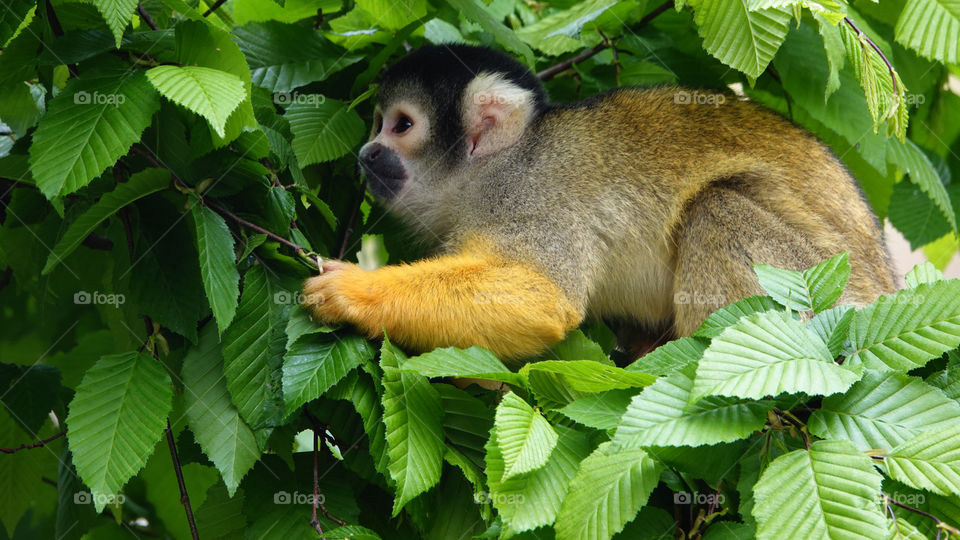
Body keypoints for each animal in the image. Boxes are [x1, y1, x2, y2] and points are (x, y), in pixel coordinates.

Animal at [302, 44, 896, 366]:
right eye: (377, 123)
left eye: (401, 126)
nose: (367, 153)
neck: (495, 166)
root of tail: (886, 290)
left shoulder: (532, 194)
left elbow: (543, 295)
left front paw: (354, 291)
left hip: (828, 293)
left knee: (717, 205)